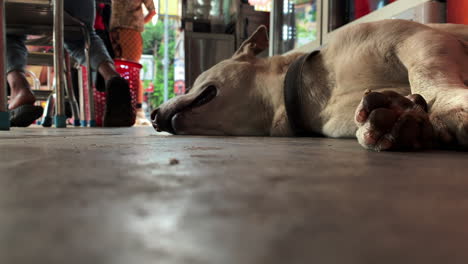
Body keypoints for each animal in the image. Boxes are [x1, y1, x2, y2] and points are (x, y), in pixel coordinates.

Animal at [152, 19, 466, 152]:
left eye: (193, 83)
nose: (153, 116)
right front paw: (398, 117)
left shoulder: (416, 38)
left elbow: (426, 73)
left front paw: (450, 108)